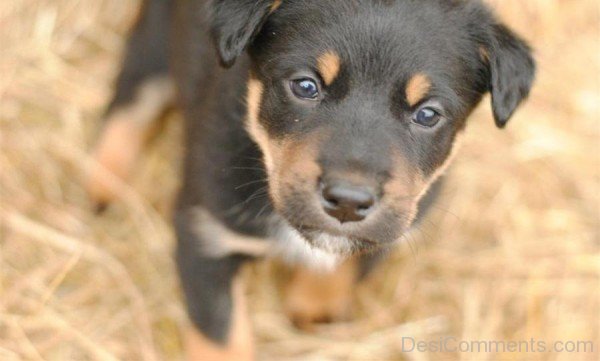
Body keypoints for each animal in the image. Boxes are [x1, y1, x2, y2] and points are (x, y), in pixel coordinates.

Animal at [88, 0, 536, 358]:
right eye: (305, 86)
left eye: (428, 114)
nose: (349, 202)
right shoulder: (204, 234)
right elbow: (222, 336)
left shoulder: (405, 217)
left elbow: (348, 262)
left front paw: (314, 308)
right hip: (154, 44)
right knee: (128, 105)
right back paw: (105, 187)